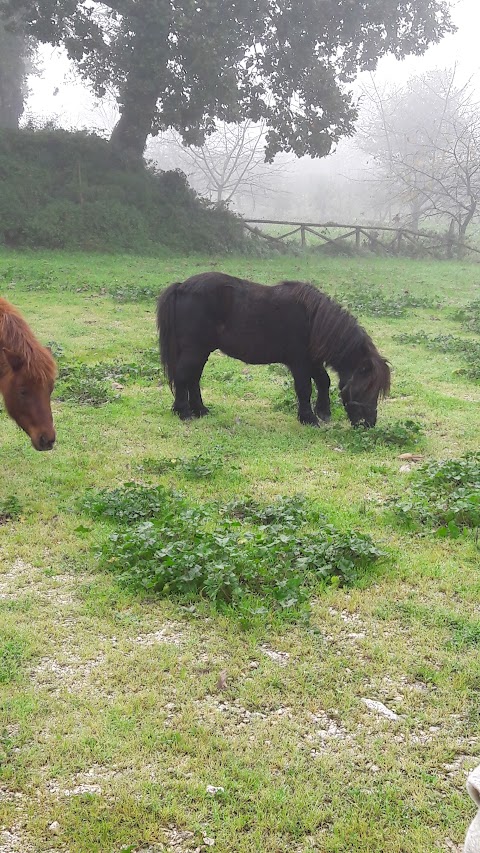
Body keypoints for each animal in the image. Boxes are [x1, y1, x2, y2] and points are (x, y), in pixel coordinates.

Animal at [158, 272, 390, 430]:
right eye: (366, 388)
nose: (368, 423)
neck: (313, 320)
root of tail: (181, 286)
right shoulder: (300, 363)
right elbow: (304, 389)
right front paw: (308, 418)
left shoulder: (312, 361)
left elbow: (324, 381)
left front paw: (323, 412)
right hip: (194, 349)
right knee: (183, 377)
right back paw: (184, 412)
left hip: (201, 350)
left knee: (193, 378)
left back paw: (201, 410)